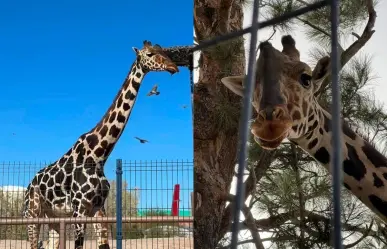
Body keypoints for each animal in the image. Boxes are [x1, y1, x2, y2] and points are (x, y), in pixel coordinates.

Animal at [23, 40, 180, 249]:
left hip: (54, 218)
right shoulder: (79, 209)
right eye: (149, 54)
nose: (174, 67)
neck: (99, 154)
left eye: (162, 49)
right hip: (33, 214)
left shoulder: (98, 209)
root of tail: (29, 185)